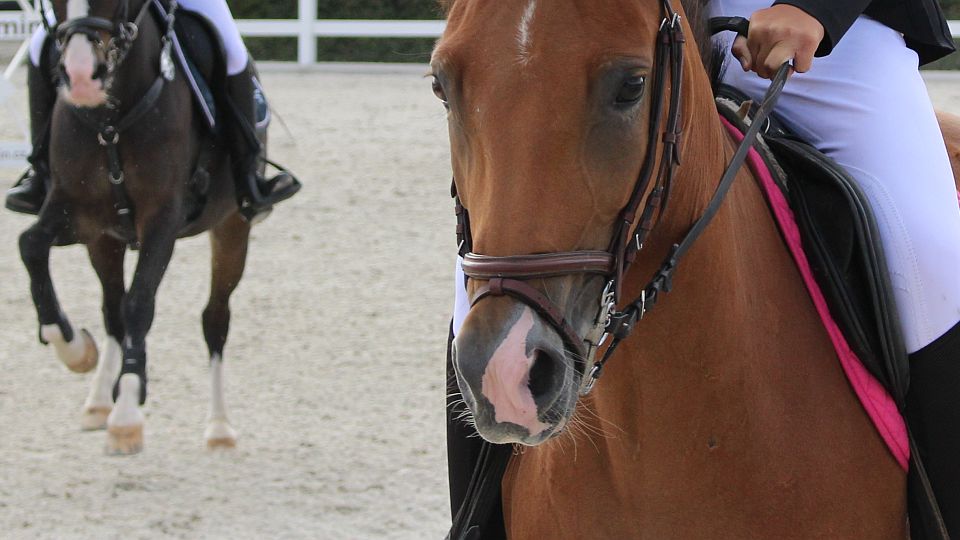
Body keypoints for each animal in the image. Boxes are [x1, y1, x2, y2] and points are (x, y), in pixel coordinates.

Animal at [18, 0, 253, 454]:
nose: (81, 80)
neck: (110, 117)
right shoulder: (73, 209)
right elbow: (31, 245)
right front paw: (73, 348)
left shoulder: (162, 219)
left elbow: (140, 302)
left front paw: (127, 412)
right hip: (103, 240)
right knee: (112, 311)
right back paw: (96, 402)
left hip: (232, 227)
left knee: (214, 319)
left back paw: (219, 428)